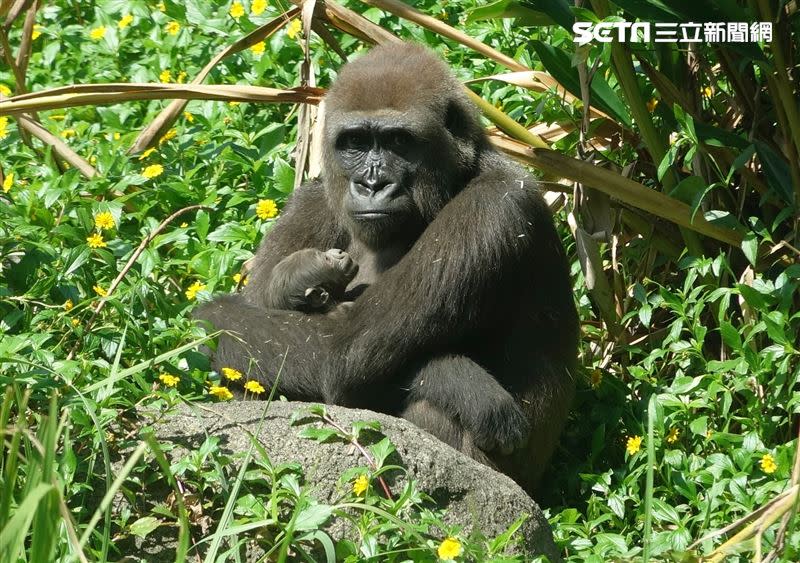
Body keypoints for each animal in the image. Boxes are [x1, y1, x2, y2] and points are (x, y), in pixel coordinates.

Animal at [197, 43, 580, 494]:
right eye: (355, 142)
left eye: (399, 141)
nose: (372, 184)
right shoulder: (314, 197)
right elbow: (256, 319)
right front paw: (300, 277)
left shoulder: (495, 208)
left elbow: (339, 354)